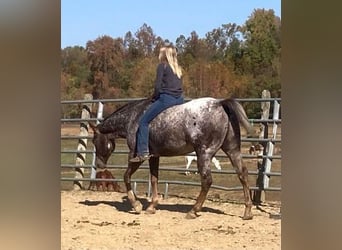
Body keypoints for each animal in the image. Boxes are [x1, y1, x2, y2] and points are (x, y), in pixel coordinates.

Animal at [89, 96, 255, 220]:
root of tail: (220, 104)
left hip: (204, 153)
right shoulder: (154, 156)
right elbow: (154, 179)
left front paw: (136, 205)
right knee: (242, 174)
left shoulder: (137, 156)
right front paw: (152, 207)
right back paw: (247, 212)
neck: (133, 118)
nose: (99, 165)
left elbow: (126, 176)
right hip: (232, 150)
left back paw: (193, 211)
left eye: (95, 141)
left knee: (207, 180)